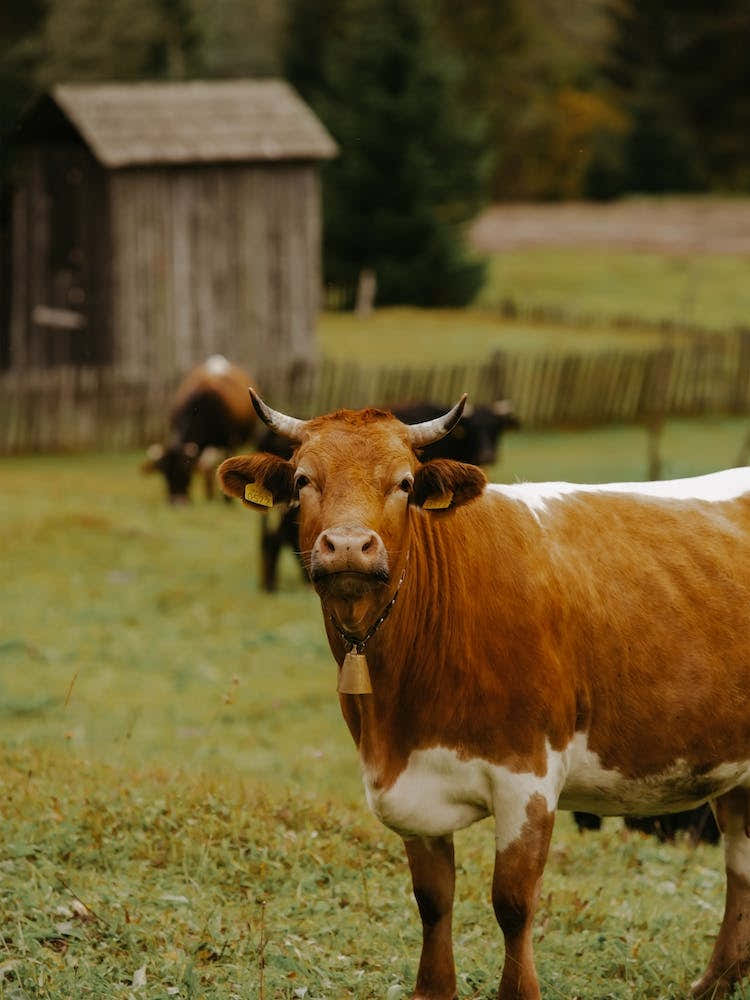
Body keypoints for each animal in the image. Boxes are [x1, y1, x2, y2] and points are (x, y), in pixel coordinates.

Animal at [142, 355, 255, 503]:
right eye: (165, 473)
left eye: (186, 471)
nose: (177, 502)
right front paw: (209, 496)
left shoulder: (229, 442)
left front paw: (227, 499)